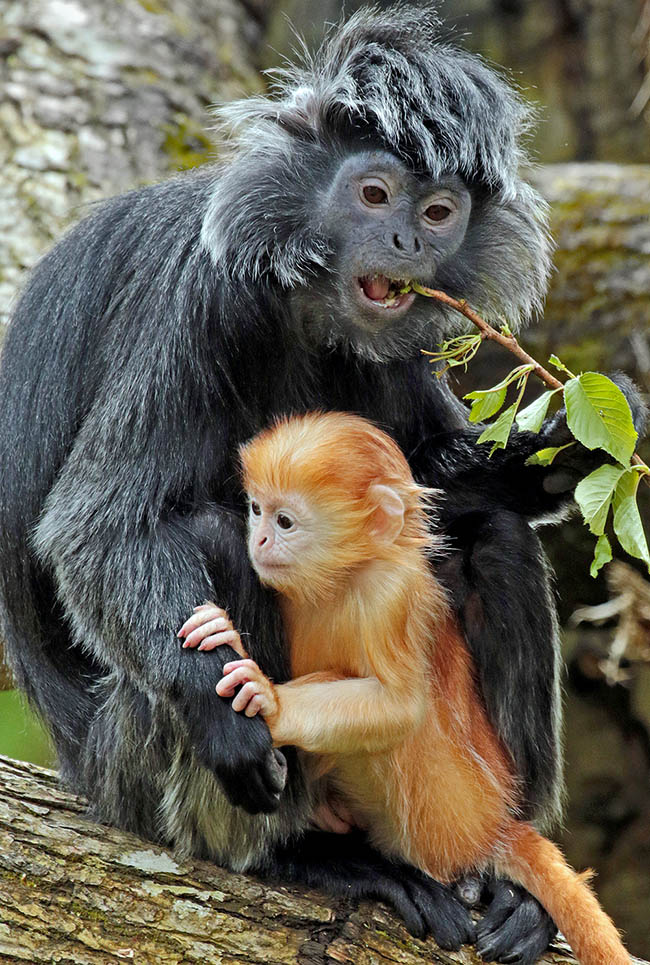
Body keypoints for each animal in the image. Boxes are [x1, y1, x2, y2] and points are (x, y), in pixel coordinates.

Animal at [181, 410, 628, 960]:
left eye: (284, 522)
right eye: (256, 510)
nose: (260, 540)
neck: (335, 581)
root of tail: (496, 824)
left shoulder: (388, 593)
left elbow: (399, 707)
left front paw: (271, 698)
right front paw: (220, 630)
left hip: (444, 811)